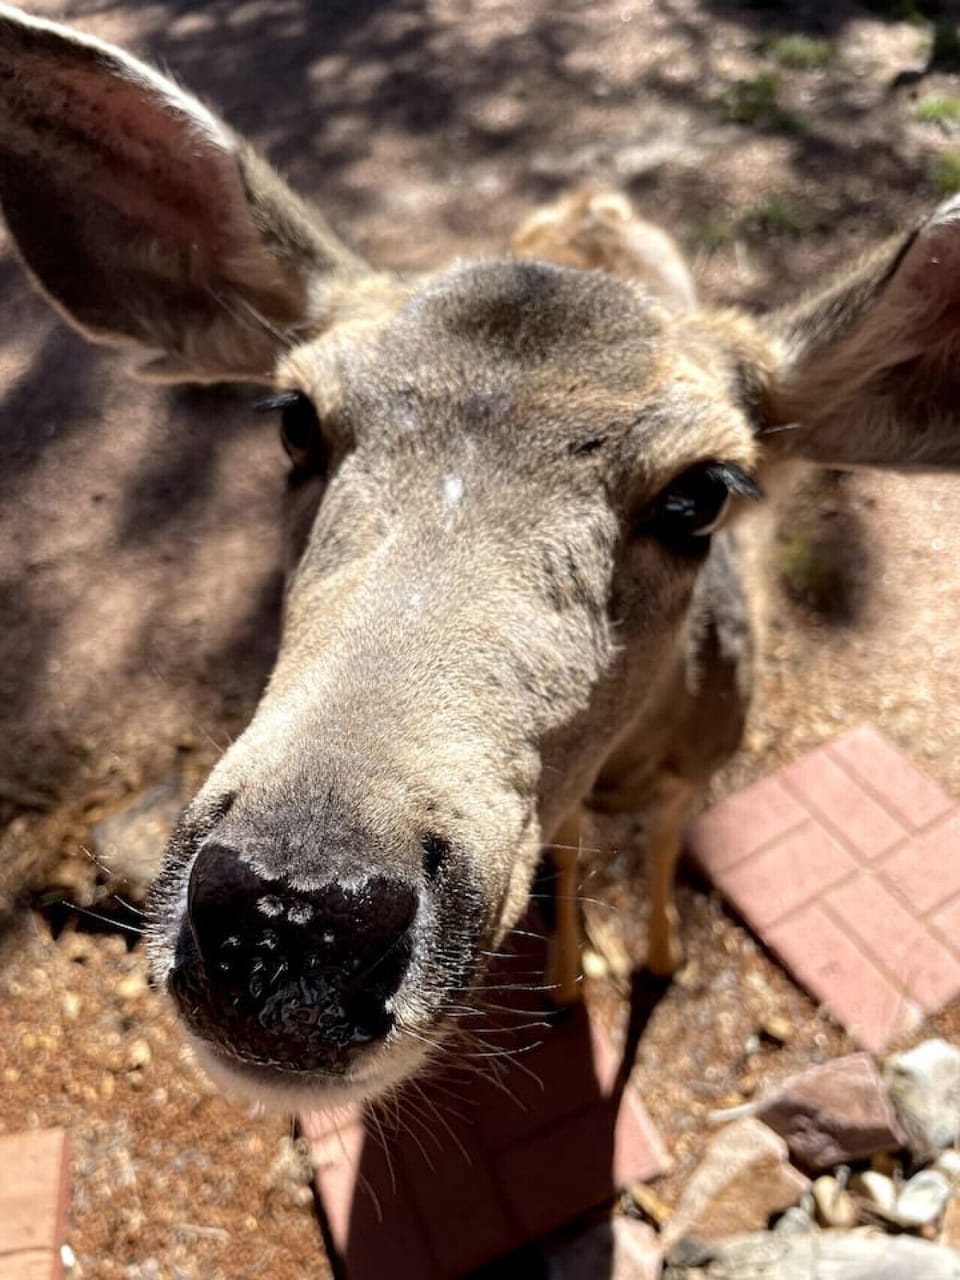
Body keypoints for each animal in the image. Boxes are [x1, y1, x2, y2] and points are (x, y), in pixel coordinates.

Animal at [0, 3, 957, 1113]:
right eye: (296, 421)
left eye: (702, 492)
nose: (296, 905)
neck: (633, 765)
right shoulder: (570, 806)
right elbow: (572, 856)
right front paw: (569, 979)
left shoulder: (700, 770)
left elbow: (667, 857)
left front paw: (659, 960)